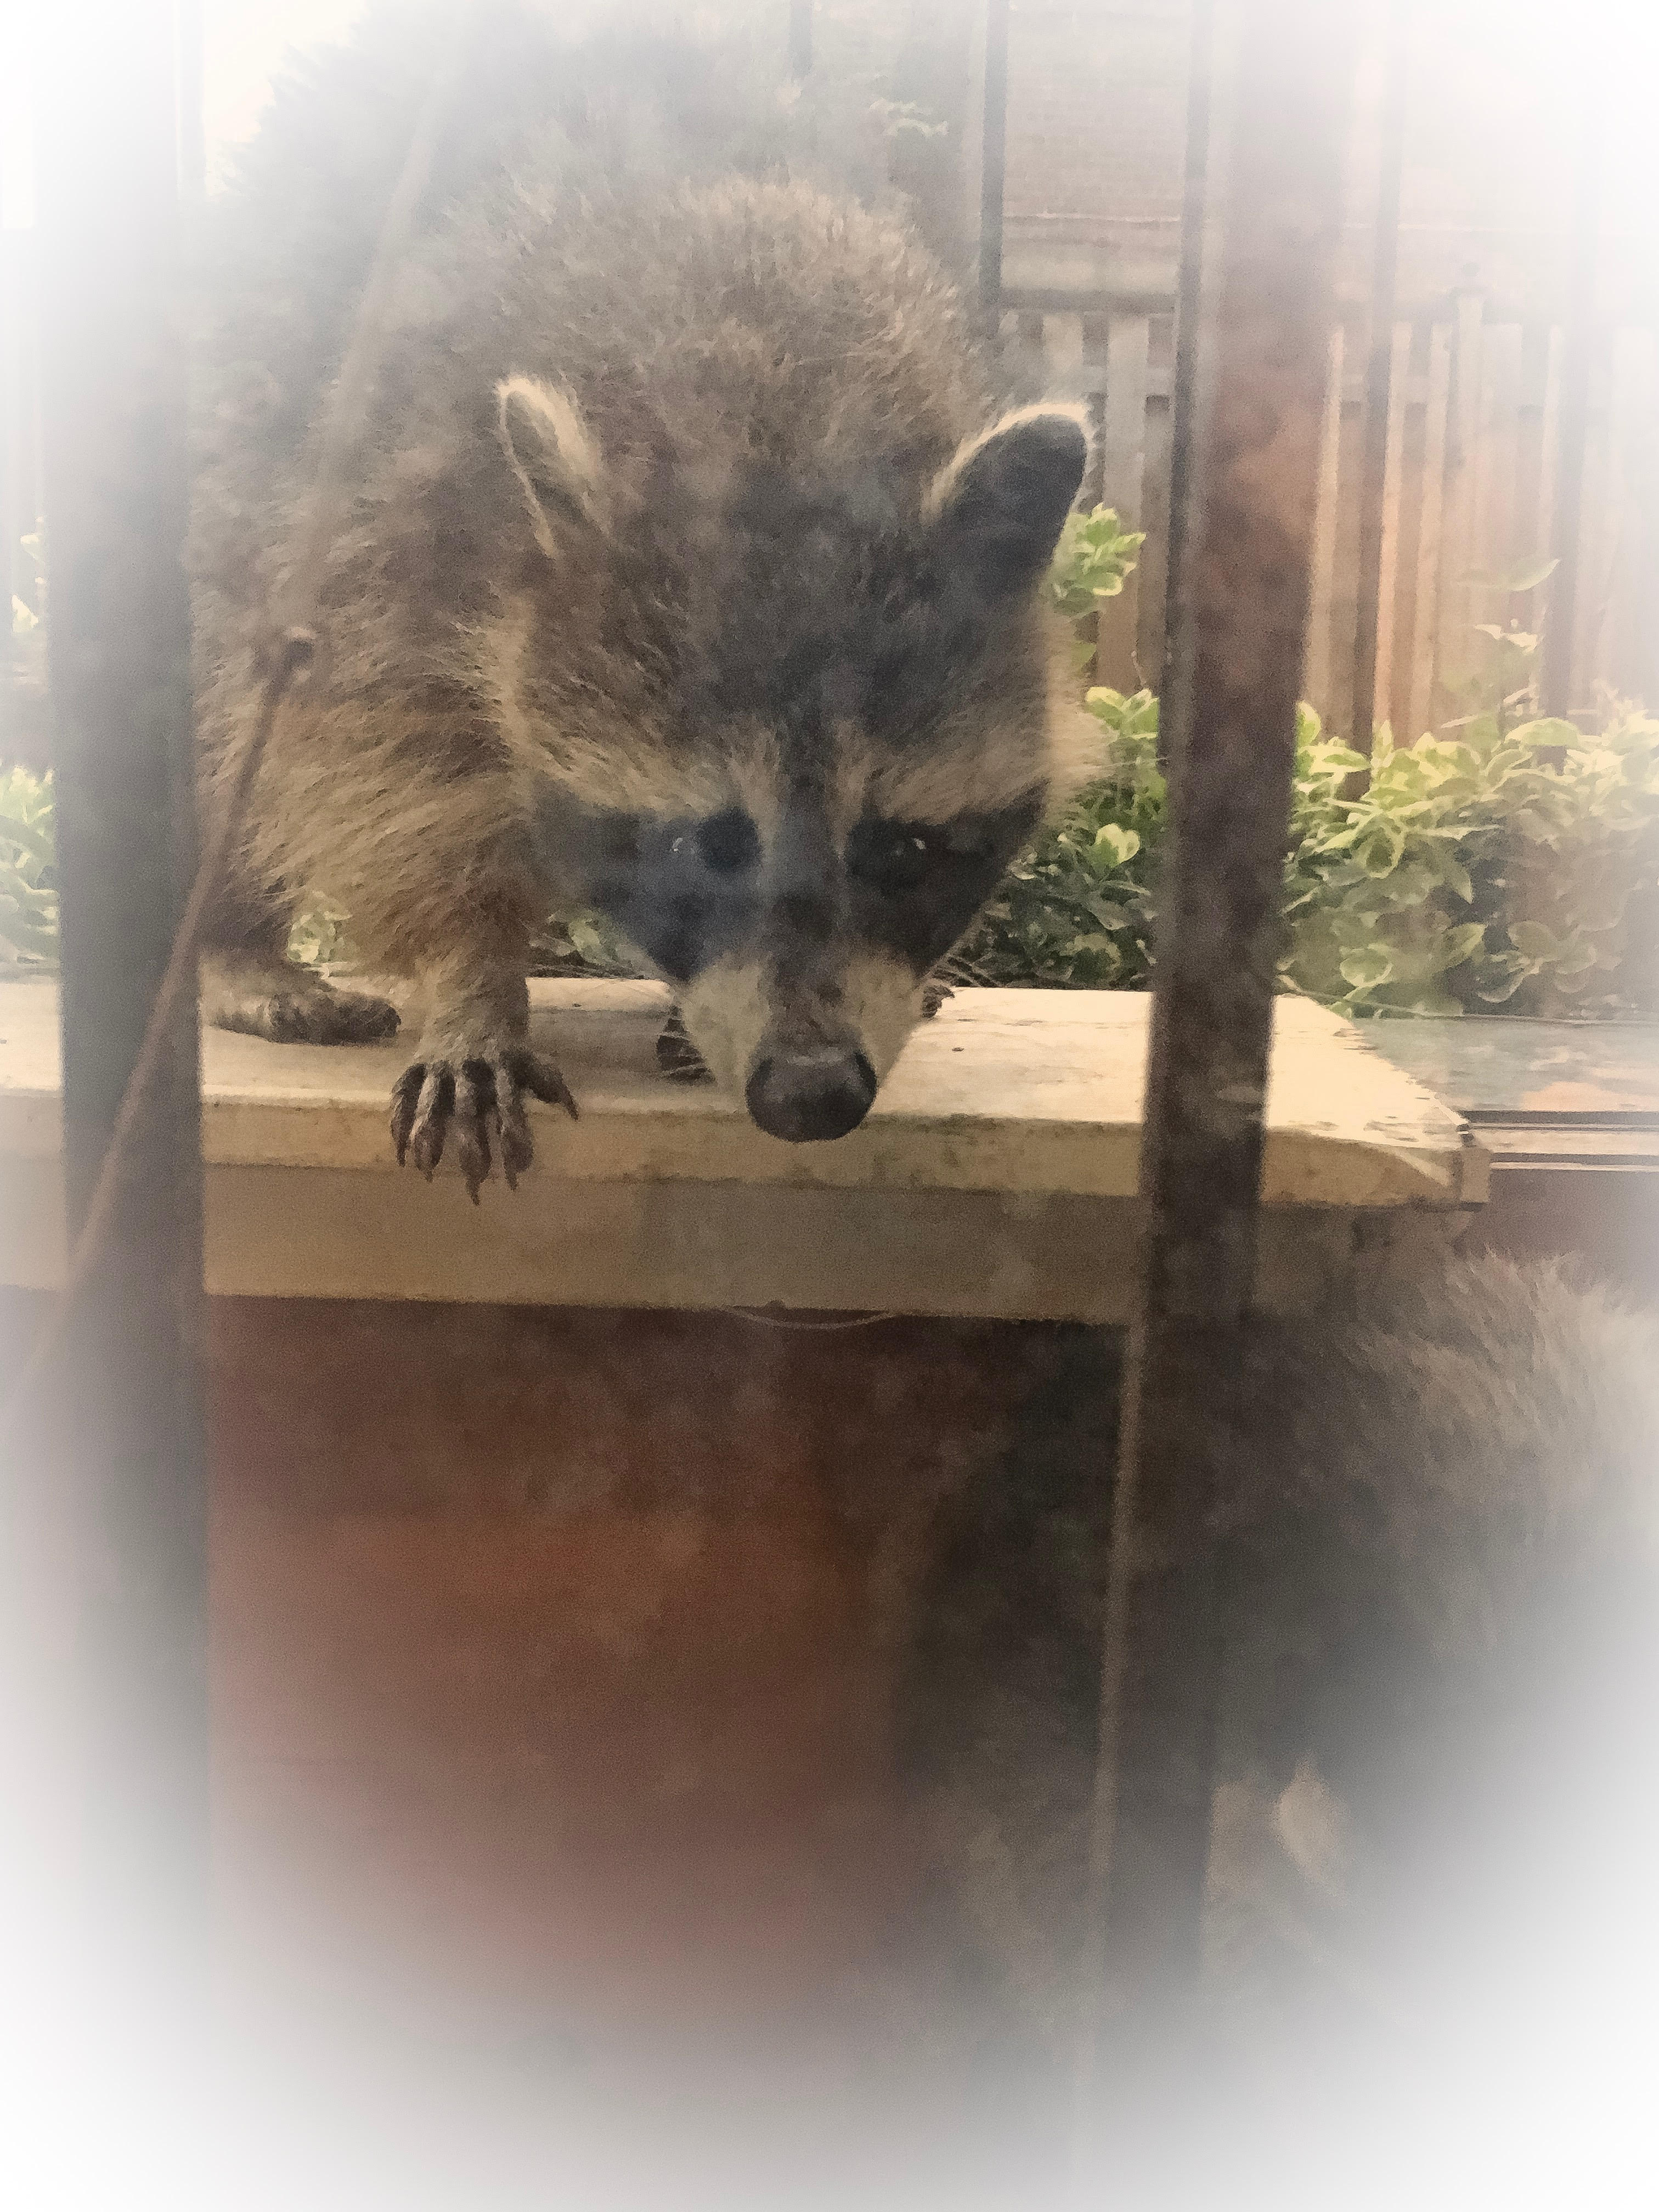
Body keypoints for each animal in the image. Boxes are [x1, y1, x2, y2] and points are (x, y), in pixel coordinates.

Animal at [194, 0, 1097, 1194]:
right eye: (704, 846)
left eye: (901, 850)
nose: (810, 1092)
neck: (781, 427)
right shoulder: (399, 522)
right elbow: (381, 771)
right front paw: (472, 980)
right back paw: (229, 942)